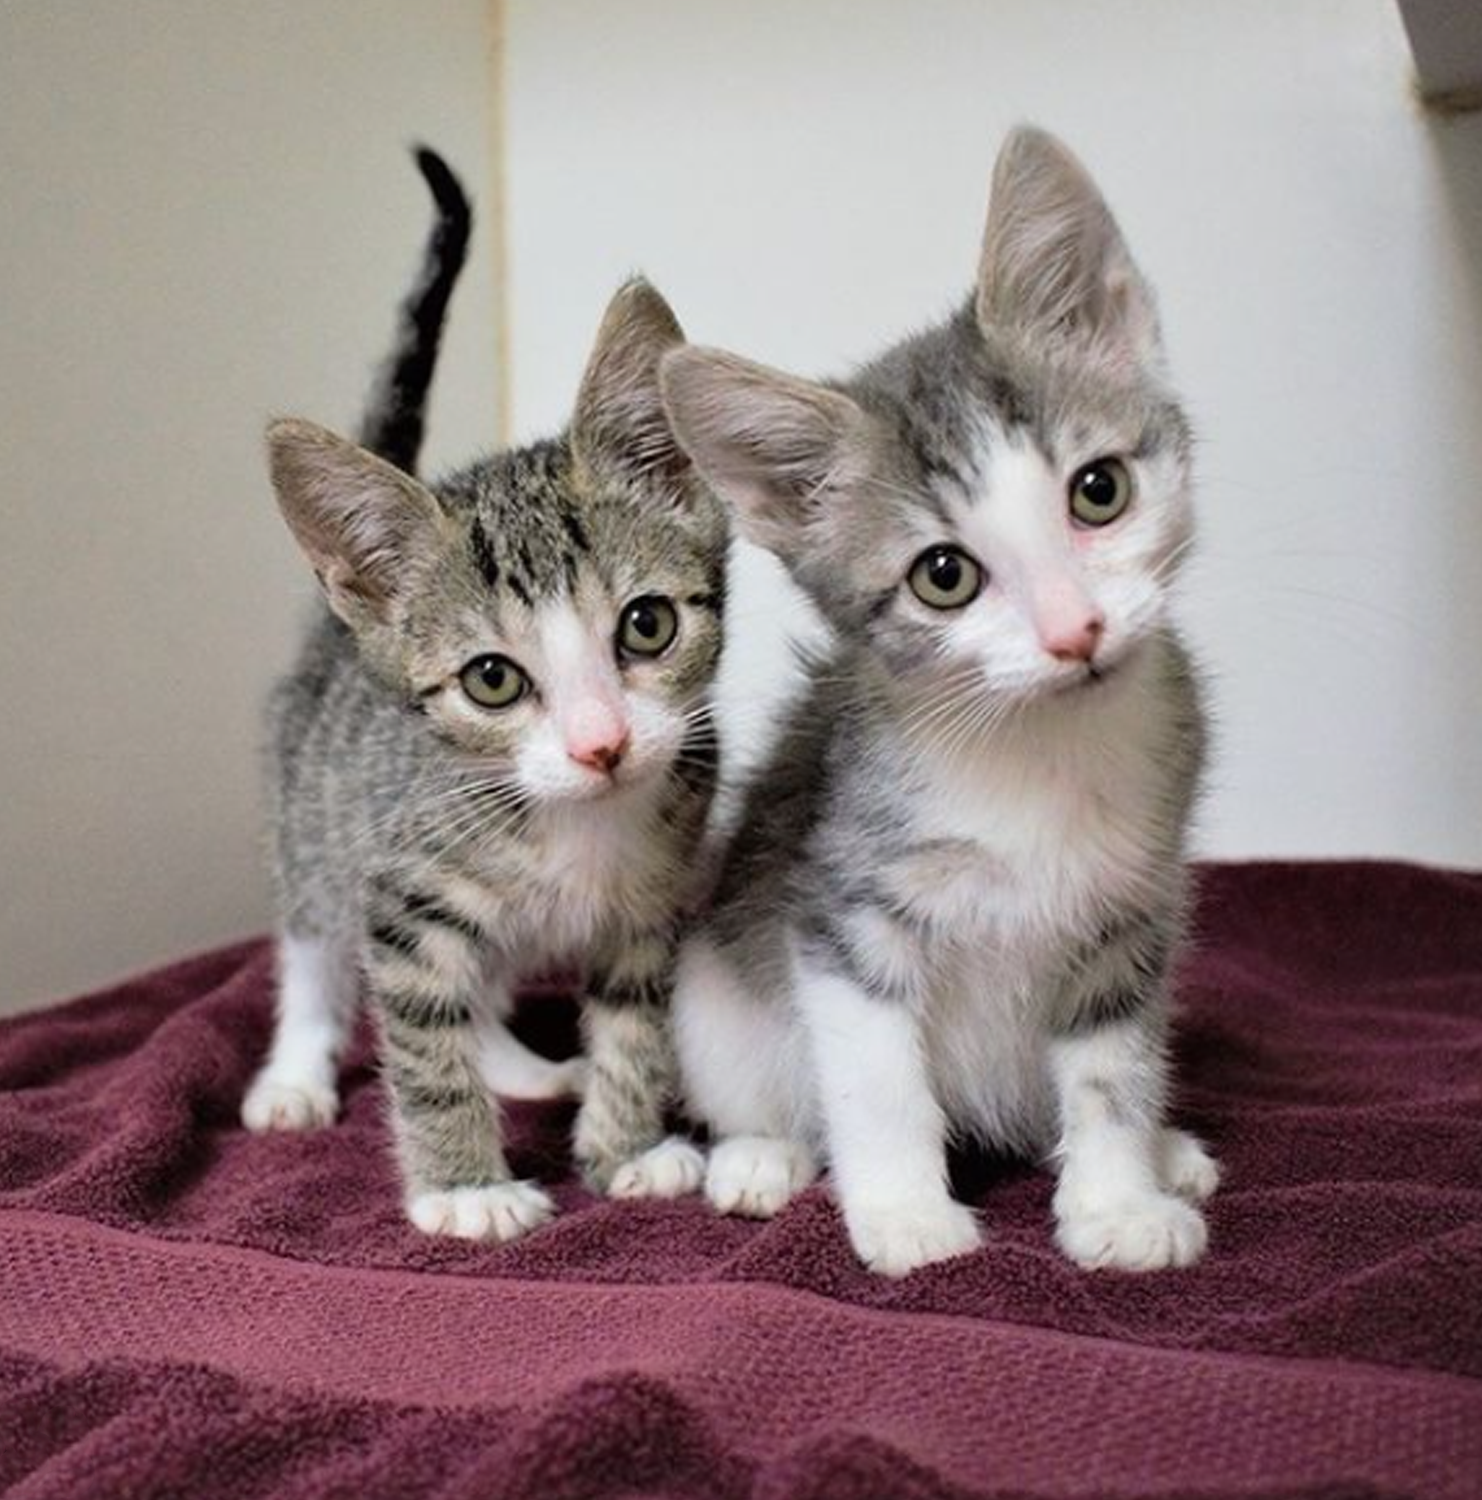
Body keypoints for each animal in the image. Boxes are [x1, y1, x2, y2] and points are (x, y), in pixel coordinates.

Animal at [244, 170, 729, 1242]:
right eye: (492, 680)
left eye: (646, 626)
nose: (601, 744)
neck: (574, 825)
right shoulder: (400, 893)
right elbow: (423, 1044)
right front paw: (464, 1187)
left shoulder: (650, 902)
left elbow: (632, 1021)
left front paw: (626, 1149)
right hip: (310, 819)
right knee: (316, 947)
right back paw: (295, 1074)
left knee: (485, 983)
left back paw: (524, 1069)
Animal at [660, 126, 1218, 1278]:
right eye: (944, 576)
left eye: (1099, 490)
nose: (1074, 631)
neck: (1037, 747)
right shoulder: (842, 908)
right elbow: (877, 1083)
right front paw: (908, 1216)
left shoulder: (1131, 916)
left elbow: (1110, 1075)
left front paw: (1117, 1203)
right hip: (710, 991)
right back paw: (761, 1156)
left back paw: (1168, 1149)